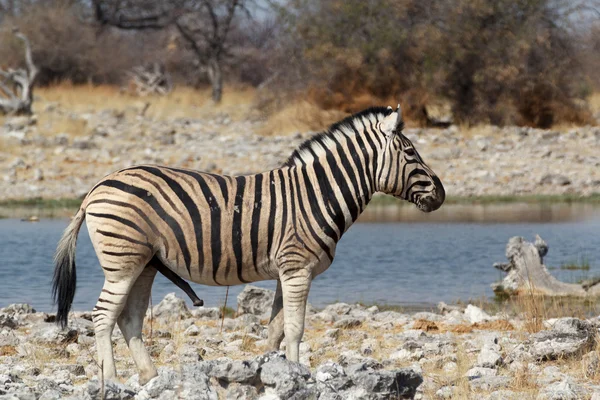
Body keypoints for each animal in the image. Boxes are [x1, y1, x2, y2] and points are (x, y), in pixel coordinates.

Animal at [52, 104, 446, 384]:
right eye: (411, 154)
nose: (441, 195)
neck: (316, 194)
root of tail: (96, 188)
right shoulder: (297, 268)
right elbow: (295, 327)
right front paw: (300, 374)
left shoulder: (286, 272)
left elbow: (275, 328)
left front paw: (275, 371)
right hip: (123, 262)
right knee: (103, 316)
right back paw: (111, 380)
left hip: (144, 263)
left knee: (129, 318)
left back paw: (149, 377)